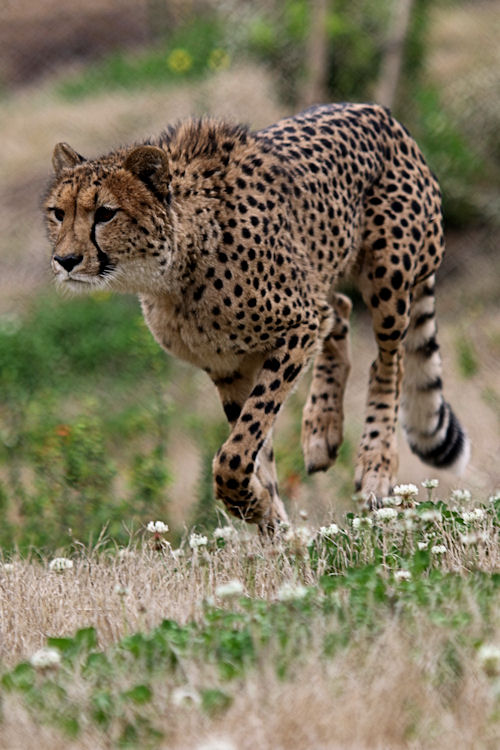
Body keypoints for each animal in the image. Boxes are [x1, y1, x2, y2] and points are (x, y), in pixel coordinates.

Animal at [44, 103, 468, 536]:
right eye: (58, 213)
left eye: (105, 213)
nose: (65, 260)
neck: (173, 273)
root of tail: (378, 112)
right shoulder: (228, 366)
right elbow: (252, 446)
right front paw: (270, 520)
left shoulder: (298, 325)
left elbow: (239, 447)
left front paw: (258, 508)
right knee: (340, 310)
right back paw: (321, 430)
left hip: (389, 274)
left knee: (389, 361)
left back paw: (375, 467)